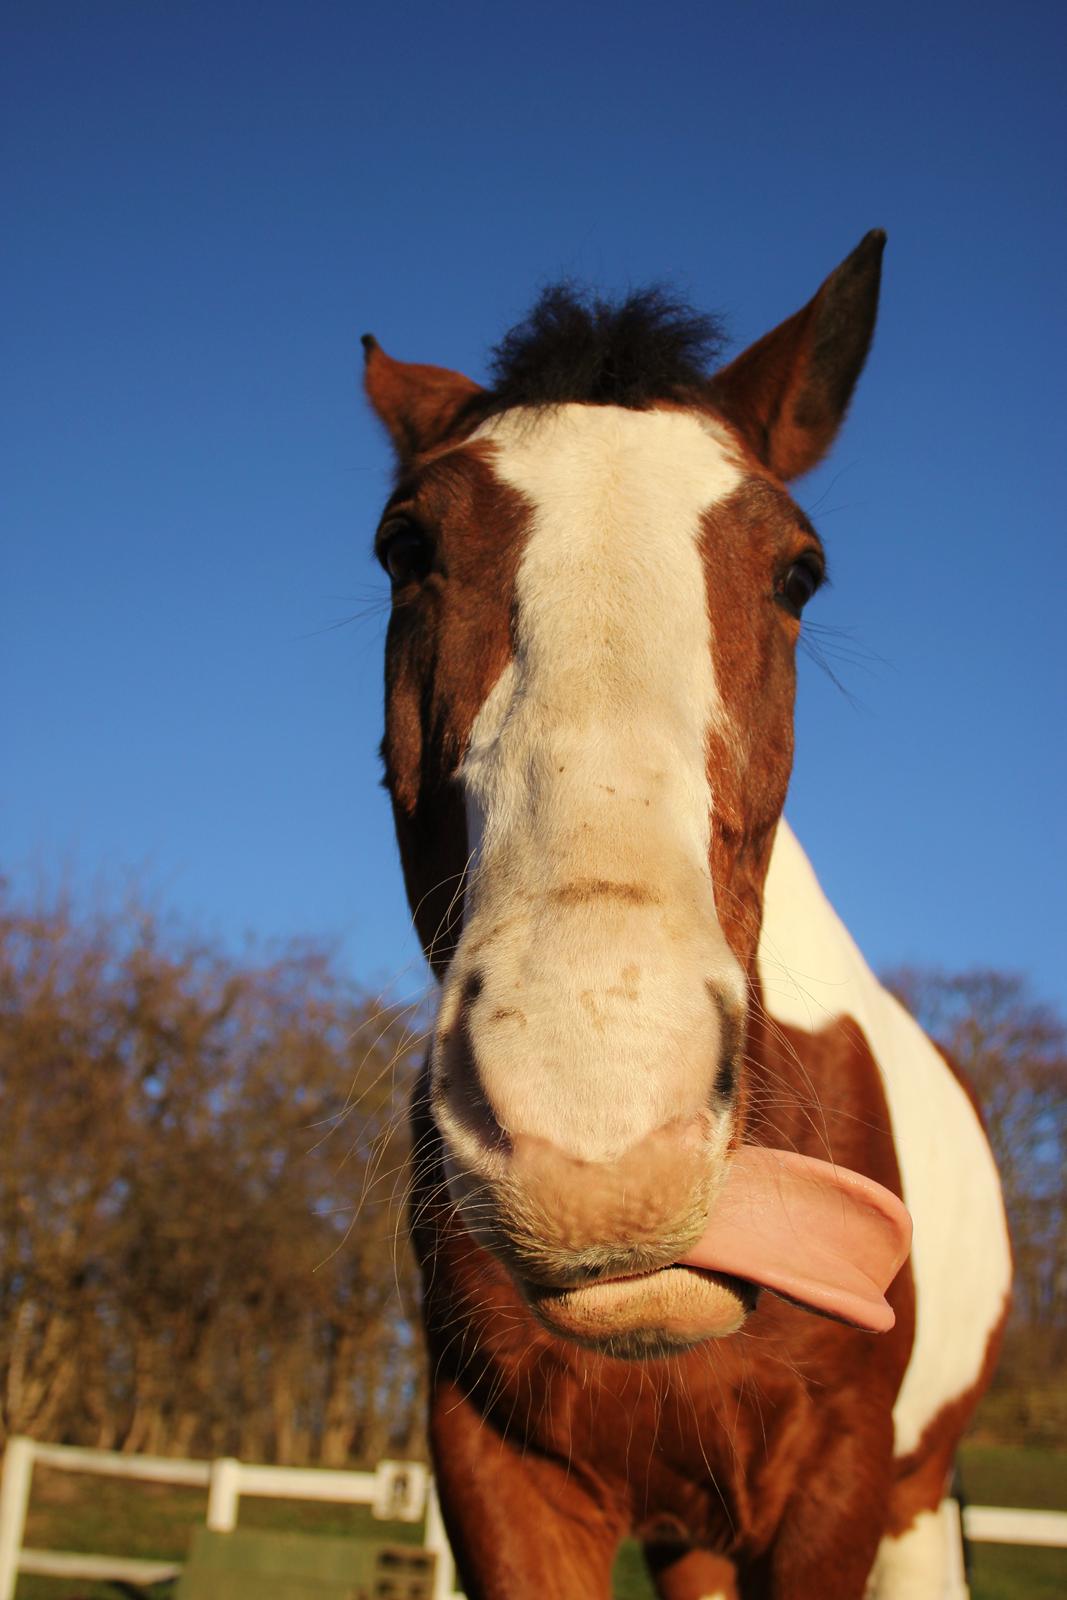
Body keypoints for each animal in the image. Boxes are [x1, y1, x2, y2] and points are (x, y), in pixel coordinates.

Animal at [361, 228, 1011, 1600]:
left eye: (799, 572)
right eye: (405, 545)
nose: (598, 1121)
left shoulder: (833, 1488)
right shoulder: (501, 1474)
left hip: (908, 1501)